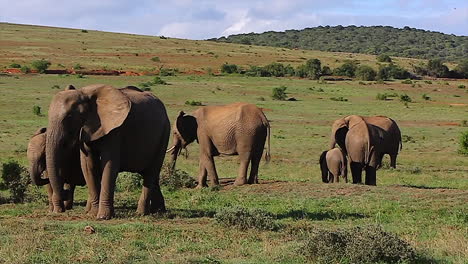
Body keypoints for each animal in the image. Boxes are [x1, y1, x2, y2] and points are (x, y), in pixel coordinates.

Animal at [45, 84, 170, 219]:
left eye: (69, 117)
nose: (59, 210)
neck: (85, 93)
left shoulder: (115, 130)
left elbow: (109, 164)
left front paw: (102, 217)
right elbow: (88, 166)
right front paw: (92, 214)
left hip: (164, 133)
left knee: (151, 173)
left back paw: (141, 213)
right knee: (152, 175)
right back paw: (159, 211)